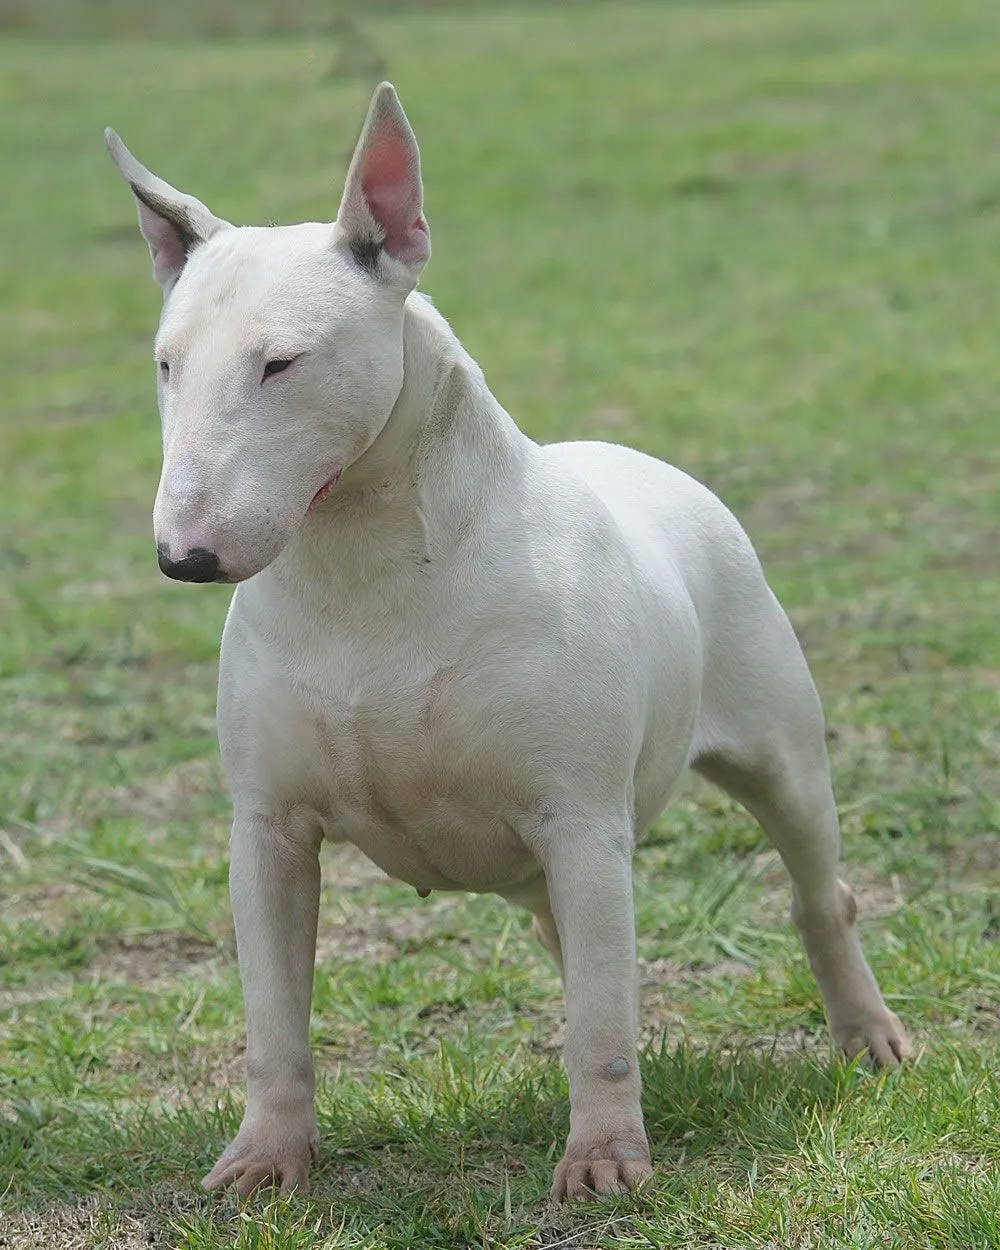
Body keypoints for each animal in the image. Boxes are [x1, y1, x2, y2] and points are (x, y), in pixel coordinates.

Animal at [105, 80, 910, 1200]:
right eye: (166, 365)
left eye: (282, 364)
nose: (183, 557)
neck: (363, 569)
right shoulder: (266, 830)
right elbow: (274, 1013)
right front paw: (265, 1157)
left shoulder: (579, 818)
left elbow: (601, 1017)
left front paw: (605, 1161)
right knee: (581, 947)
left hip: (775, 750)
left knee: (811, 889)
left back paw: (866, 1034)